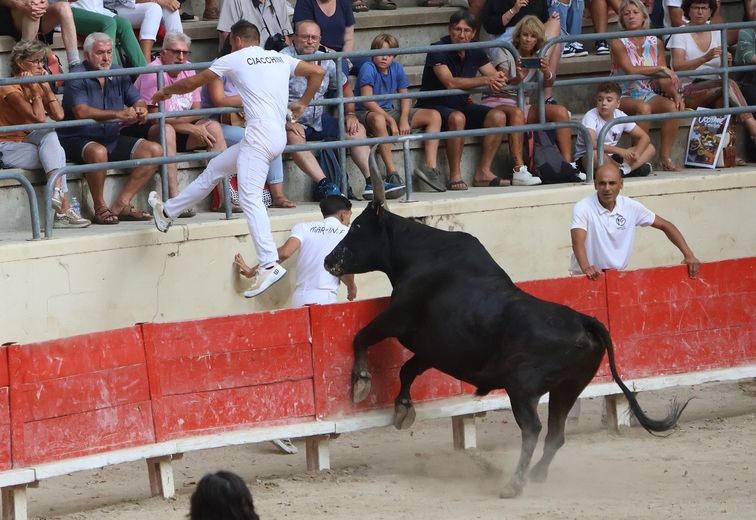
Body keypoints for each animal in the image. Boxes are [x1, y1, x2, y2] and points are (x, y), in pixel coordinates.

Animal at [322, 151, 688, 500]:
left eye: (357, 228)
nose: (329, 260)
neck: (417, 255)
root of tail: (586, 320)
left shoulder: (398, 318)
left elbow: (361, 337)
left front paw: (361, 382)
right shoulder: (434, 348)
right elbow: (406, 370)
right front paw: (402, 410)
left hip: (522, 388)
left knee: (533, 430)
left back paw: (514, 483)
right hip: (569, 386)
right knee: (556, 434)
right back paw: (536, 475)